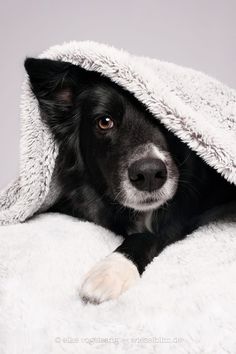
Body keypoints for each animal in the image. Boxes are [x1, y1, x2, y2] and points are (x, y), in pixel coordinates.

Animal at [24, 58, 236, 304]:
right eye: (104, 122)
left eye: (166, 120)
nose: (149, 175)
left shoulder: (179, 216)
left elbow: (146, 236)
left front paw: (111, 270)